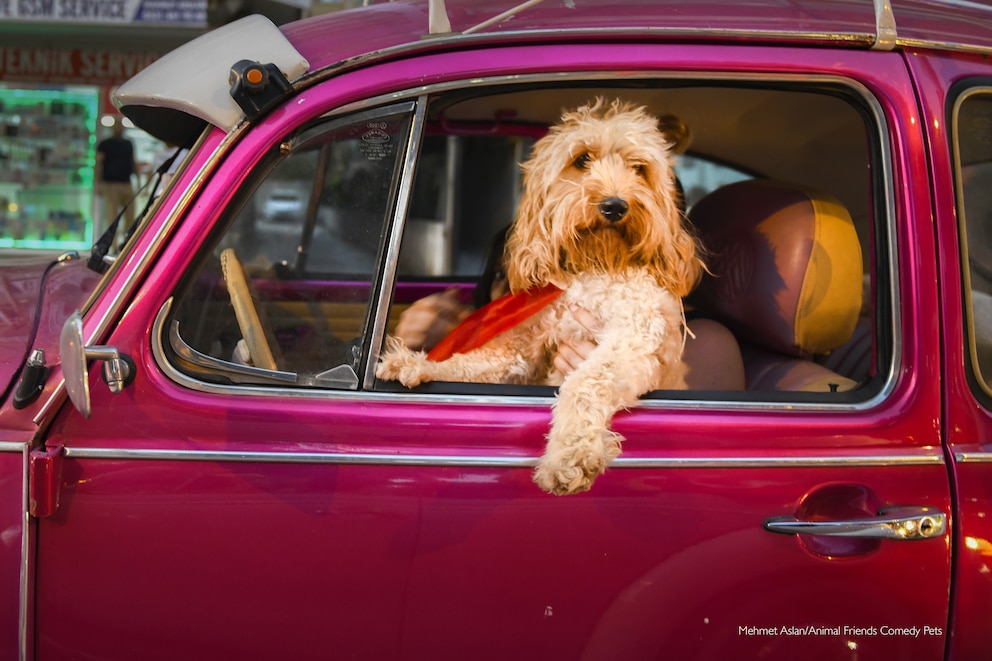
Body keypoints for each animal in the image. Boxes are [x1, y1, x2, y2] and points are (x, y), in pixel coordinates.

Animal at [376, 96, 700, 490]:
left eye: (639, 168)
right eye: (582, 160)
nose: (615, 205)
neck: (594, 267)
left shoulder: (632, 342)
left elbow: (585, 382)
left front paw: (570, 456)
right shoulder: (525, 348)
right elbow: (473, 362)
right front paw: (416, 363)